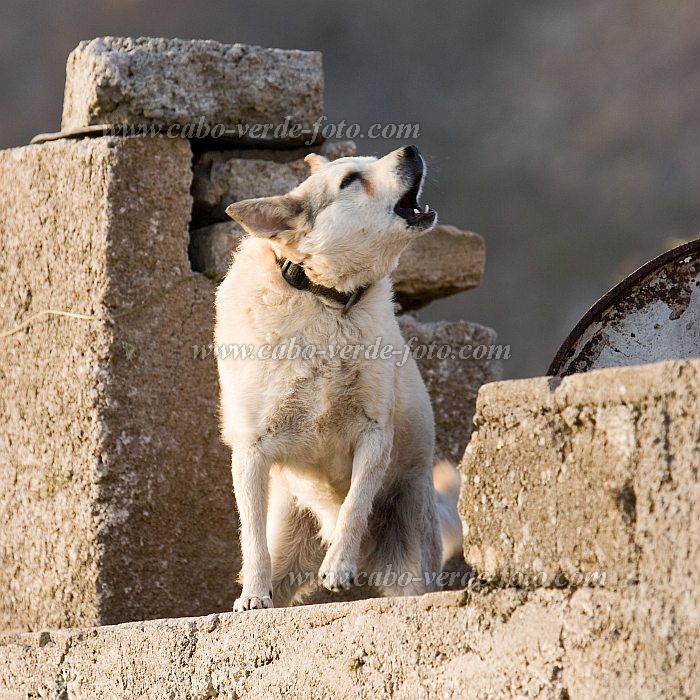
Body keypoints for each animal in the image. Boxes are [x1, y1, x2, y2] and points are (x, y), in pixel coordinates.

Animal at [216, 145, 462, 608]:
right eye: (350, 180)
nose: (411, 149)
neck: (327, 301)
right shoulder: (251, 450)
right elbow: (251, 537)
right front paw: (253, 595)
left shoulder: (374, 432)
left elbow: (354, 504)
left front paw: (339, 566)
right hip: (288, 544)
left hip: (409, 558)